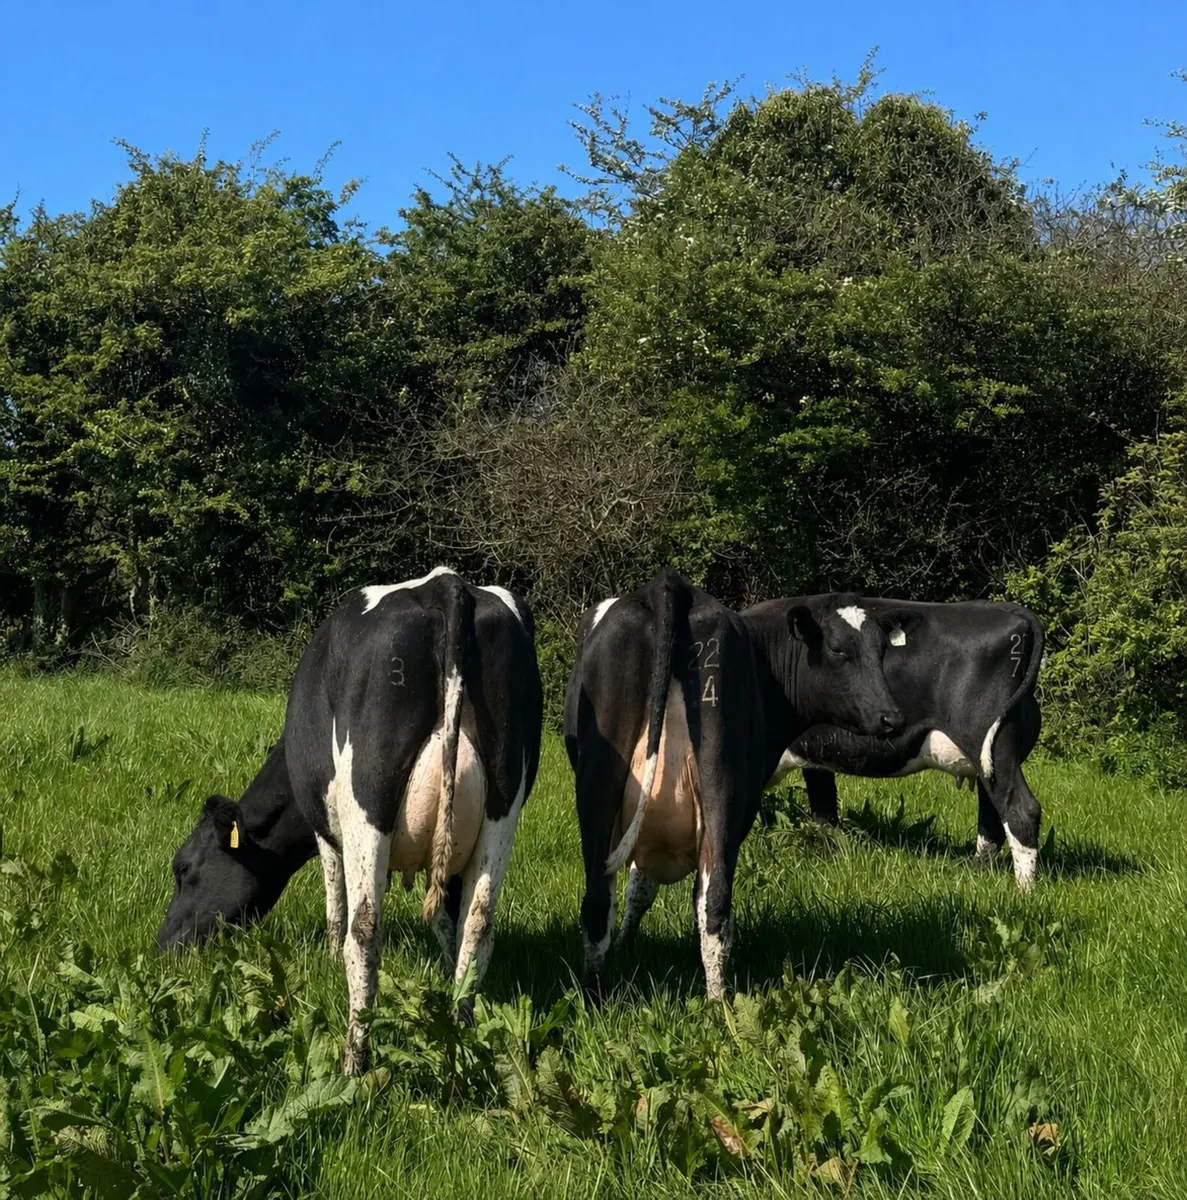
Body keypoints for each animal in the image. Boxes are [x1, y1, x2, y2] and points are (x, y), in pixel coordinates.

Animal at [157, 568, 543, 1074]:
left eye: (183, 868)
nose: (163, 946)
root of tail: (444, 584)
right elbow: (447, 920)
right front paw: (445, 985)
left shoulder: (325, 829)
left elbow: (335, 905)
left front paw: (325, 957)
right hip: (503, 802)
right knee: (478, 922)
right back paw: (459, 1046)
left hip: (368, 801)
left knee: (365, 930)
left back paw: (354, 1063)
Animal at [564, 567, 905, 999]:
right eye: (838, 649)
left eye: (882, 651)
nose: (892, 717)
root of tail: (669, 585)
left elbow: (637, 887)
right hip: (693, 788)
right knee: (703, 901)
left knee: (623, 898)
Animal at [747, 596, 1044, 889]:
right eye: (837, 649)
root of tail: (1004, 609)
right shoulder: (817, 760)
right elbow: (824, 815)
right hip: (988, 761)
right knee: (992, 813)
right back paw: (977, 872)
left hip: (992, 742)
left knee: (1020, 809)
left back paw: (1024, 890)